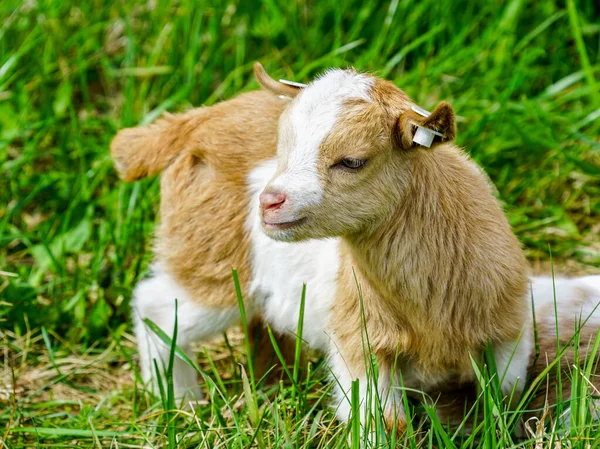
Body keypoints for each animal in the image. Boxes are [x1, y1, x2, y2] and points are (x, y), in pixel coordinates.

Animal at [111, 64, 600, 430]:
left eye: (352, 161)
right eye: (281, 148)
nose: (269, 202)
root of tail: (193, 120)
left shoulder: (508, 329)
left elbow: (504, 398)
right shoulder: (358, 337)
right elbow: (385, 424)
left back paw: (269, 385)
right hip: (213, 259)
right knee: (157, 305)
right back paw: (178, 401)